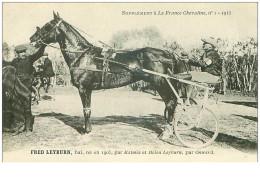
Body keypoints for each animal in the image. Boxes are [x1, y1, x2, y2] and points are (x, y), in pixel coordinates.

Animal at [30, 11, 181, 138]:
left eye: (47, 26)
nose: (32, 38)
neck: (82, 56)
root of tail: (167, 54)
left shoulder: (84, 89)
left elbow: (86, 110)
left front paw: (86, 130)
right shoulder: (88, 89)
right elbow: (88, 109)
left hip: (161, 83)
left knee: (171, 102)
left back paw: (166, 132)